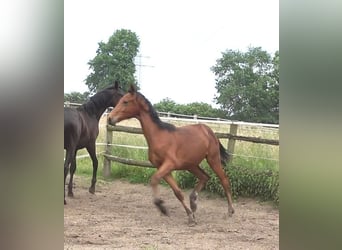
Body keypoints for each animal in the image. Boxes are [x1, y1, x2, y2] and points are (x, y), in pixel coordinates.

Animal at [107, 85, 235, 224]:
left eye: (125, 101)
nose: (110, 118)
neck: (159, 137)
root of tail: (208, 130)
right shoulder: (163, 168)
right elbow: (177, 192)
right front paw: (190, 215)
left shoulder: (169, 164)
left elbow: (154, 179)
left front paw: (162, 207)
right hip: (191, 165)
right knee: (205, 177)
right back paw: (193, 203)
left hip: (213, 159)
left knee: (224, 180)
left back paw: (230, 211)